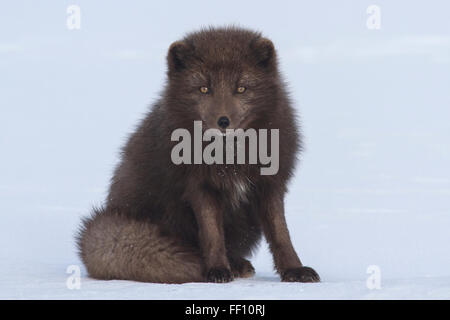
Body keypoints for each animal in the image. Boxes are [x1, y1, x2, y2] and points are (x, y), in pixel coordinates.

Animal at [77, 26, 318, 284]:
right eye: (204, 88)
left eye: (241, 88)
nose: (223, 121)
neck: (230, 157)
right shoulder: (199, 185)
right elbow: (212, 234)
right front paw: (217, 270)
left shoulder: (270, 184)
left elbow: (281, 233)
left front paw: (295, 269)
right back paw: (233, 265)